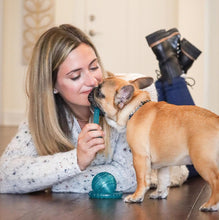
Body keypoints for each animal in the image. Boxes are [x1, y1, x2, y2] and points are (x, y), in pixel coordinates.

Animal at [88, 75, 219, 211]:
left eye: (99, 93)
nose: (91, 90)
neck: (134, 109)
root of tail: (217, 120)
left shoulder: (139, 157)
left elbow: (141, 179)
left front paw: (136, 196)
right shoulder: (164, 163)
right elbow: (163, 179)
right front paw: (160, 193)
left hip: (202, 161)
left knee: (215, 181)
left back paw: (211, 204)